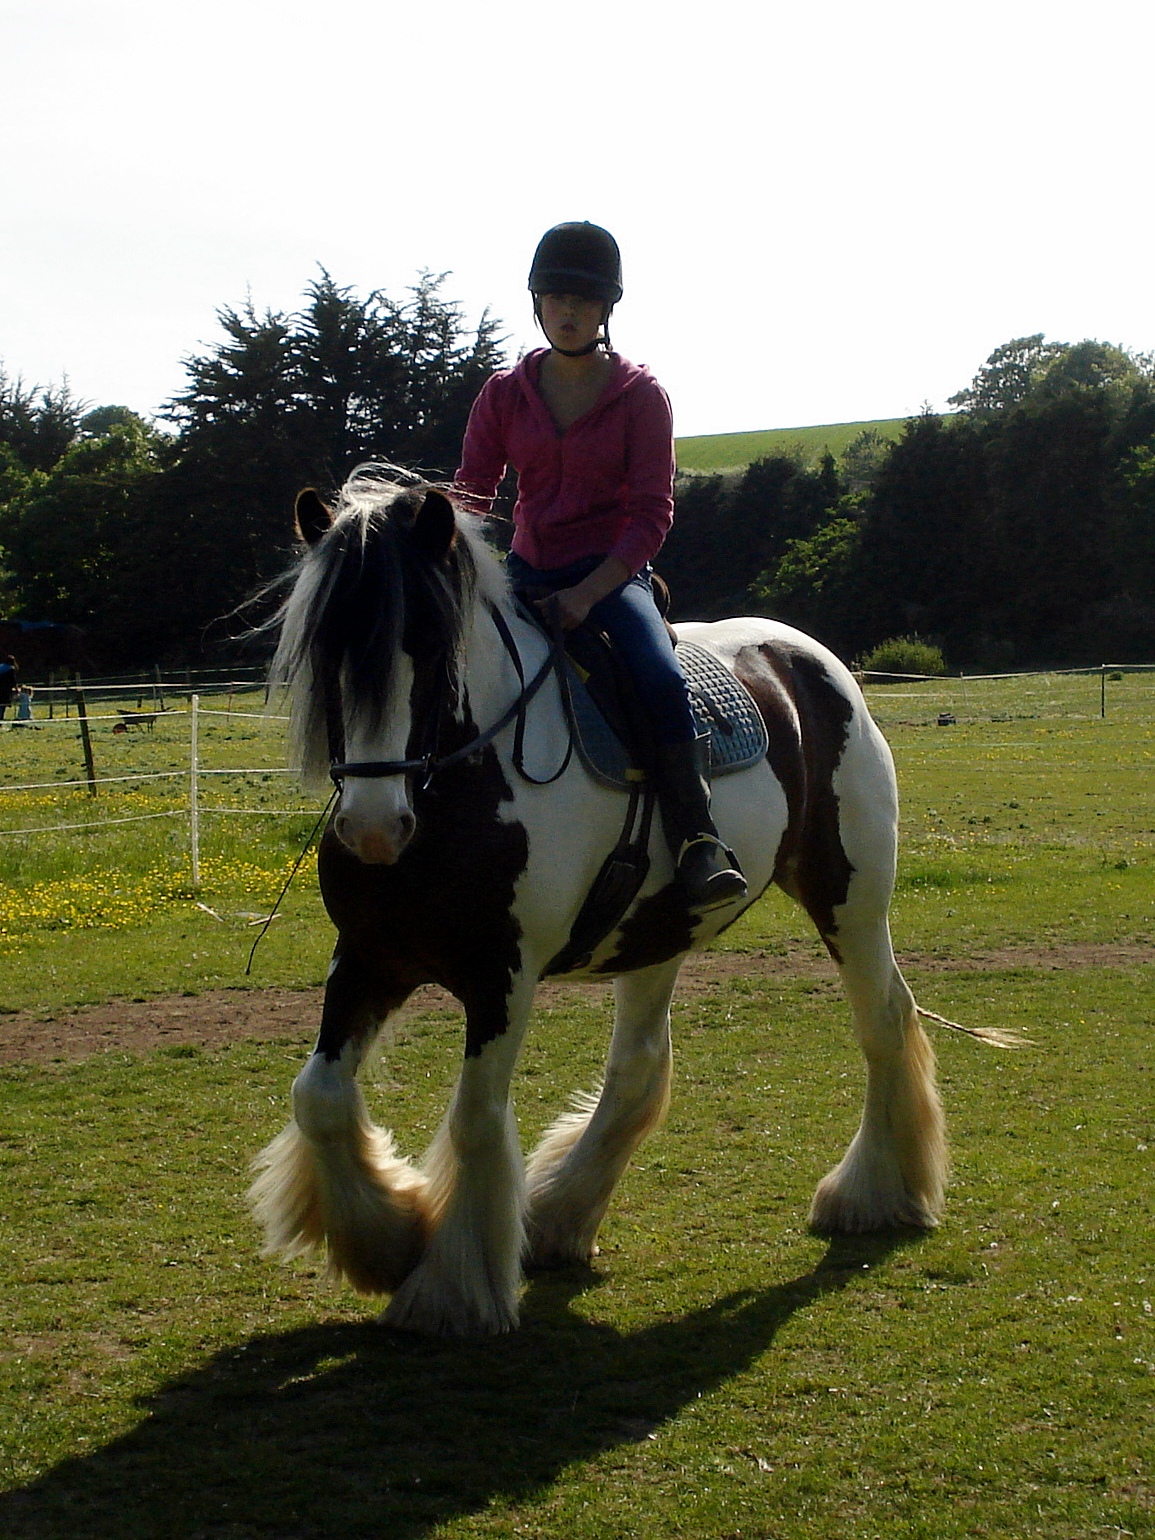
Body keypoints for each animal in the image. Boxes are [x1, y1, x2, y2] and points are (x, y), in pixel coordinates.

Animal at [249, 465, 947, 1336]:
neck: (460, 792)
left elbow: (475, 1119)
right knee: (640, 1066)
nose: (374, 827)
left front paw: (449, 1287)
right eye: (326, 645)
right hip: (659, 929)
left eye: (432, 647)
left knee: (883, 1021)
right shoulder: (369, 958)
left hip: (848, 899)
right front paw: (383, 1239)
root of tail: (806, 656)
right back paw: (558, 1215)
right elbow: (317, 1098)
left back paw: (870, 1194)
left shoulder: (501, 976)